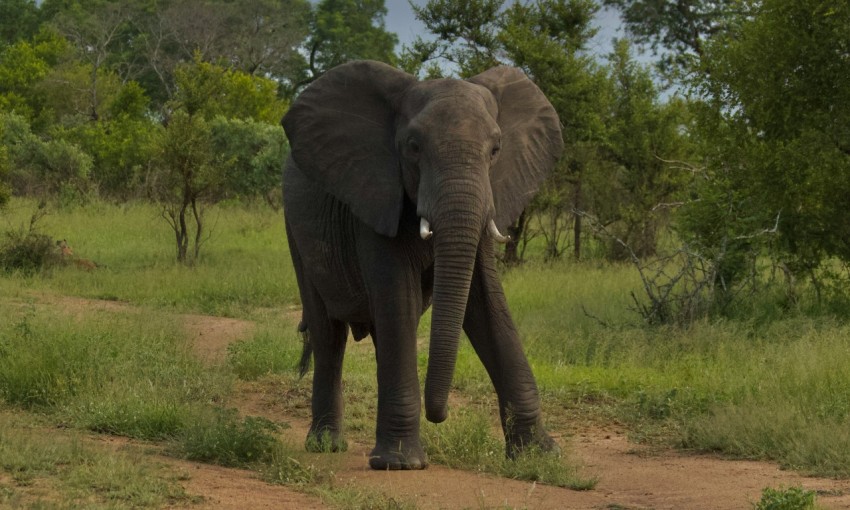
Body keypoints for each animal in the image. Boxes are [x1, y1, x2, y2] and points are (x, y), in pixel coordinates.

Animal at [281, 60, 563, 470]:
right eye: (413, 147)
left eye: (496, 149)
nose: (439, 415)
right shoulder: (377, 197)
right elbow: (398, 296)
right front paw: (399, 464)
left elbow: (487, 304)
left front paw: (539, 456)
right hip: (295, 232)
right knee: (328, 333)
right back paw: (325, 445)